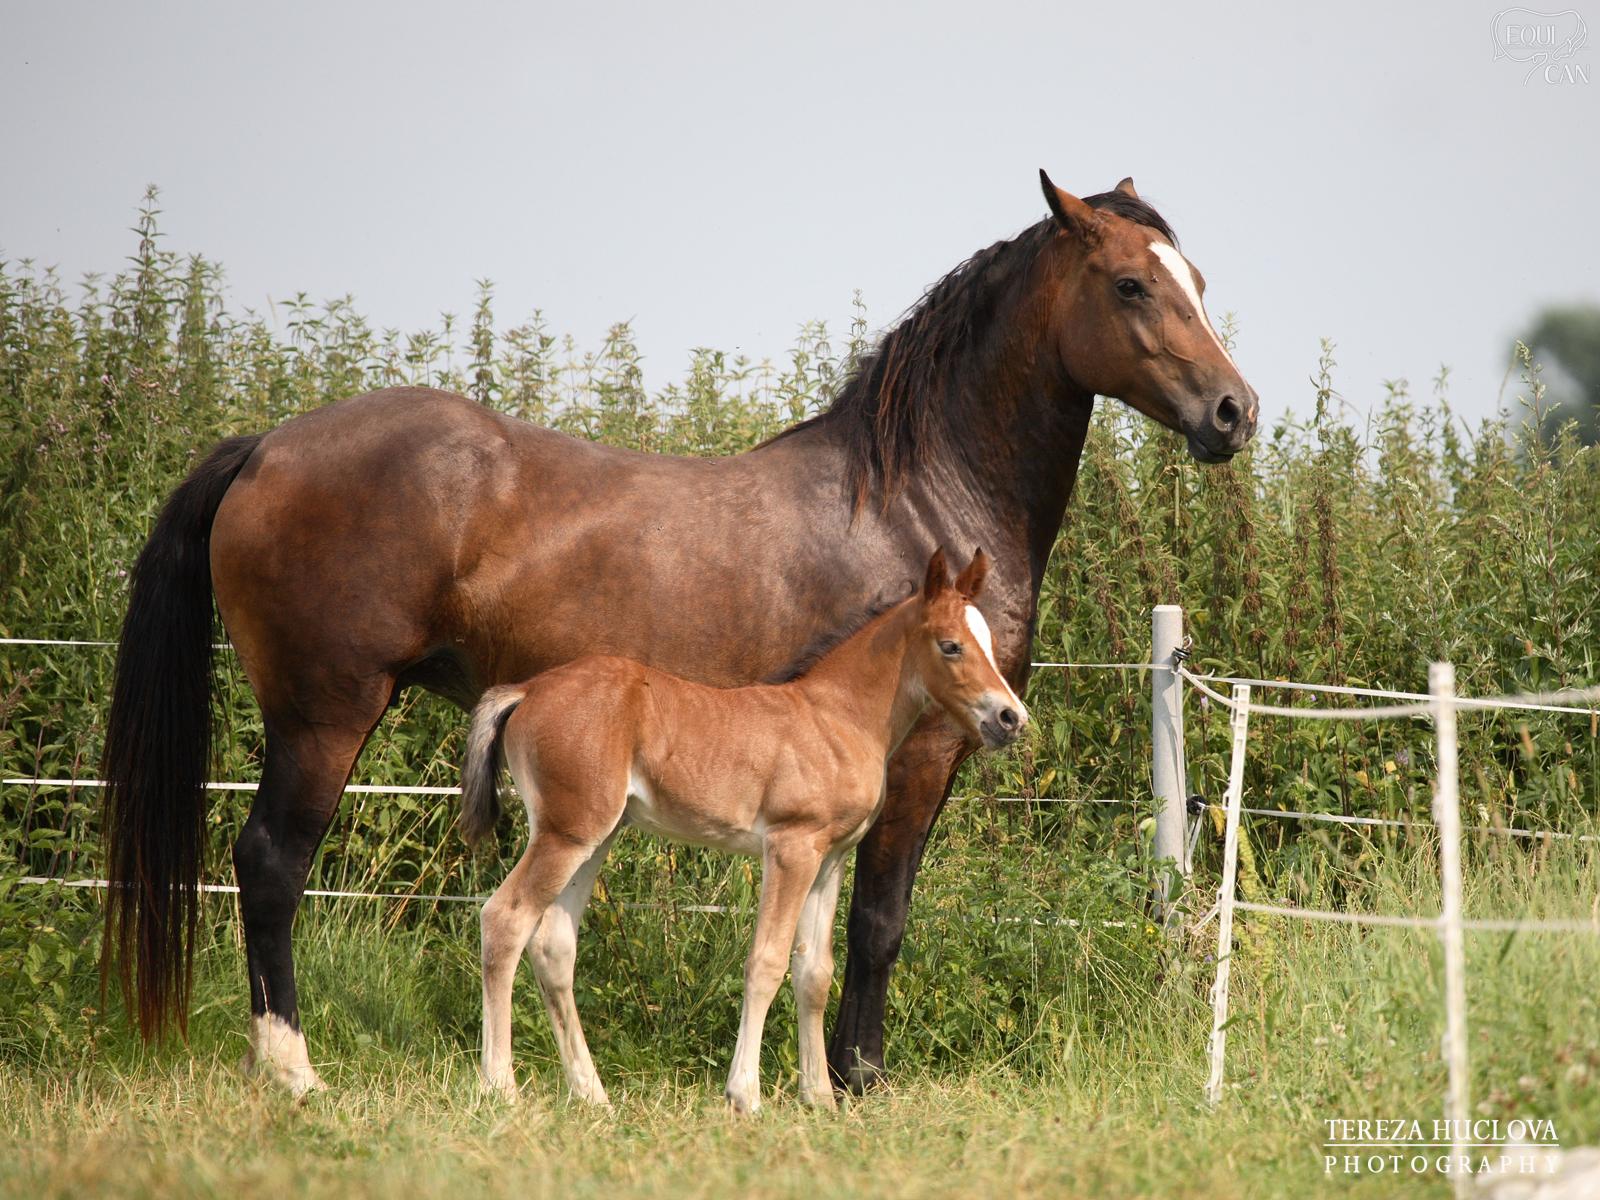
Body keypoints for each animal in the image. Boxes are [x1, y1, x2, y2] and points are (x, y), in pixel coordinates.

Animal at [462, 548, 1022, 1112]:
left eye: (990, 643)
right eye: (951, 645)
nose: (1010, 717)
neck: (837, 719)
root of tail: (526, 689)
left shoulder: (830, 859)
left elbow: (814, 973)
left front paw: (820, 1099)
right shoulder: (792, 847)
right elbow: (766, 962)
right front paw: (745, 1095)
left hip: (595, 837)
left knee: (554, 945)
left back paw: (592, 1093)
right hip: (566, 834)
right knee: (505, 920)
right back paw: (499, 1086)